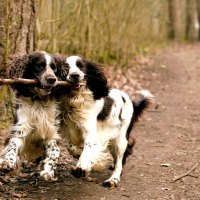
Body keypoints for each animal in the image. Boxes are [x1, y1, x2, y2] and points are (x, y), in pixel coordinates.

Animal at [0, 50, 60, 180]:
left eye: (54, 68)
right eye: (39, 66)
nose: (52, 79)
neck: (38, 100)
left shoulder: (51, 131)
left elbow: (55, 151)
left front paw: (47, 171)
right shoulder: (20, 127)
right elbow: (12, 144)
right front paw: (8, 162)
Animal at [54, 55, 153, 187]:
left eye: (81, 66)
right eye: (66, 67)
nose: (75, 75)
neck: (76, 100)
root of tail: (131, 102)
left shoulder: (90, 131)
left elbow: (88, 148)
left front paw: (81, 167)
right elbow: (71, 147)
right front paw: (79, 154)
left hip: (121, 139)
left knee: (120, 161)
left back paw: (113, 179)